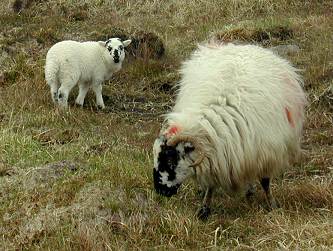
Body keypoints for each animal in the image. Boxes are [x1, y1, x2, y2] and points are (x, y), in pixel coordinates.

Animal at [152, 41, 304, 220]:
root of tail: (242, 46)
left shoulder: (265, 153)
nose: (160, 191)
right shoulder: (217, 155)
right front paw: (204, 210)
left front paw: (272, 205)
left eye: (170, 161)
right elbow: (210, 184)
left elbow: (265, 181)